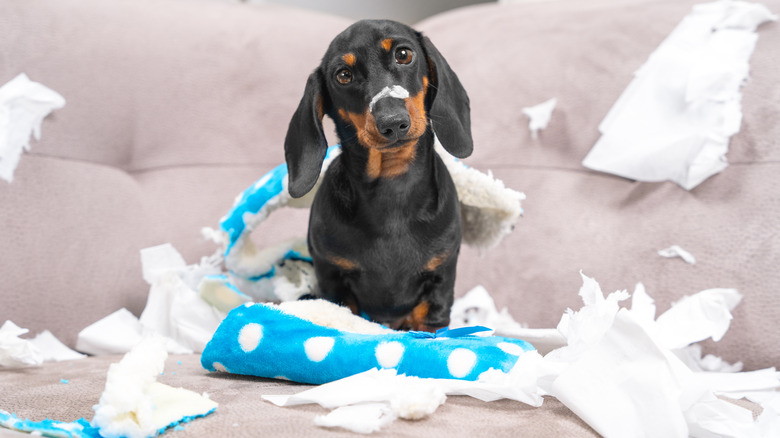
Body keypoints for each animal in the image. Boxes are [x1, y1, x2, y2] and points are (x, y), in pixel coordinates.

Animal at [284, 18, 472, 330]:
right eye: (343, 75)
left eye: (404, 54)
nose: (392, 123)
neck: (392, 188)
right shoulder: (332, 278)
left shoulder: (440, 282)